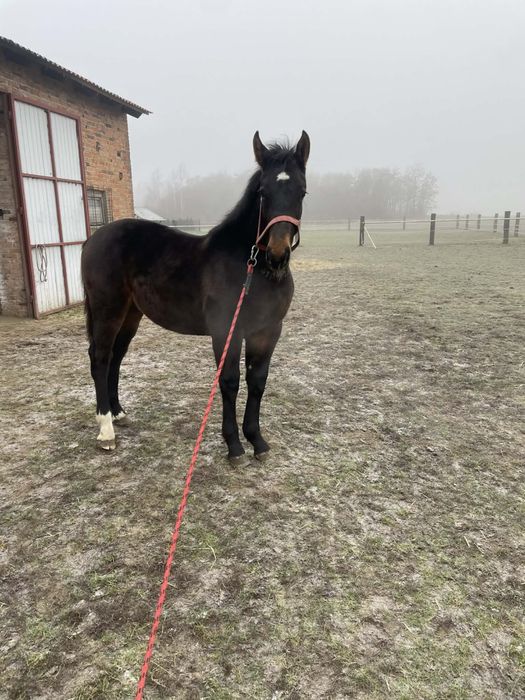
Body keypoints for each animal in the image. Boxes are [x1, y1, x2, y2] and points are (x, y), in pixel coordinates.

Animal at [81, 130, 310, 460]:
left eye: (302, 192)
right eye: (263, 192)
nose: (277, 256)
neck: (249, 266)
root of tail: (93, 238)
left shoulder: (267, 331)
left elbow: (257, 382)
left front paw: (257, 440)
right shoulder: (226, 330)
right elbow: (229, 382)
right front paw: (234, 445)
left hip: (130, 314)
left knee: (116, 356)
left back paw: (118, 413)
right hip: (107, 309)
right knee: (100, 357)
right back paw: (106, 431)